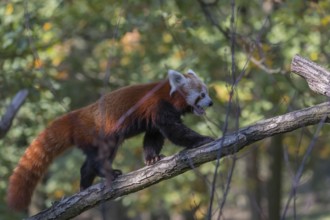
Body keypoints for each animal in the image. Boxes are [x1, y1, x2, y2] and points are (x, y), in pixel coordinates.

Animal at [7, 69, 215, 211]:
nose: (211, 103)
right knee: (103, 154)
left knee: (88, 164)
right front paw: (202, 139)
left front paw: (152, 158)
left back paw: (85, 183)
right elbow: (174, 131)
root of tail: (76, 116)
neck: (168, 94)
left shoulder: (154, 117)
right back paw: (107, 172)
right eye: (202, 95)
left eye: (207, 93)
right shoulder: (159, 105)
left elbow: (153, 137)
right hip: (99, 133)